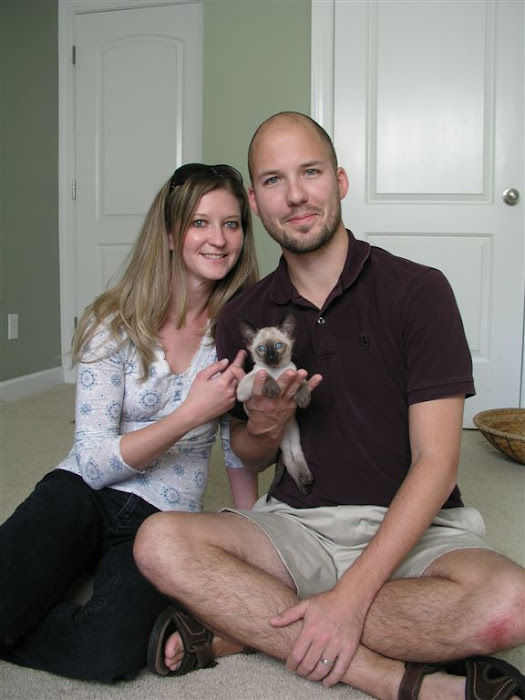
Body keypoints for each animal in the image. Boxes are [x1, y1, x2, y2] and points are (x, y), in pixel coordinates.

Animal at [235, 314, 314, 494]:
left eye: (278, 346)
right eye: (262, 349)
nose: (271, 359)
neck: (276, 371)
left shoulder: (294, 374)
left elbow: (302, 382)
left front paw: (303, 398)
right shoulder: (243, 389)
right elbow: (265, 375)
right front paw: (274, 388)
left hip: (294, 432)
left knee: (297, 455)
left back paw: (306, 479)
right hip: (281, 439)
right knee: (289, 460)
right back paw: (304, 485)